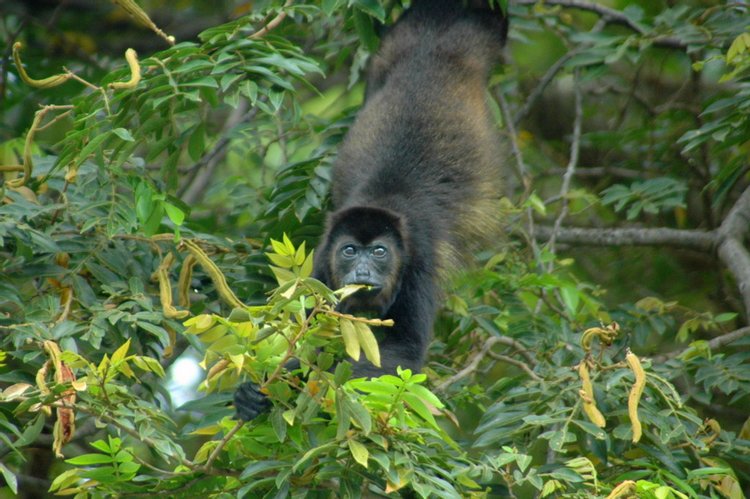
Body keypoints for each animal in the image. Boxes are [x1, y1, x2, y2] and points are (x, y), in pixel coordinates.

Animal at [235, 0, 508, 421]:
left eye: (379, 251)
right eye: (350, 250)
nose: (362, 272)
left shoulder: (419, 259)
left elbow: (400, 347)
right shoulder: (322, 267)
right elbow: (311, 339)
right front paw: (254, 394)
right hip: (394, 45)